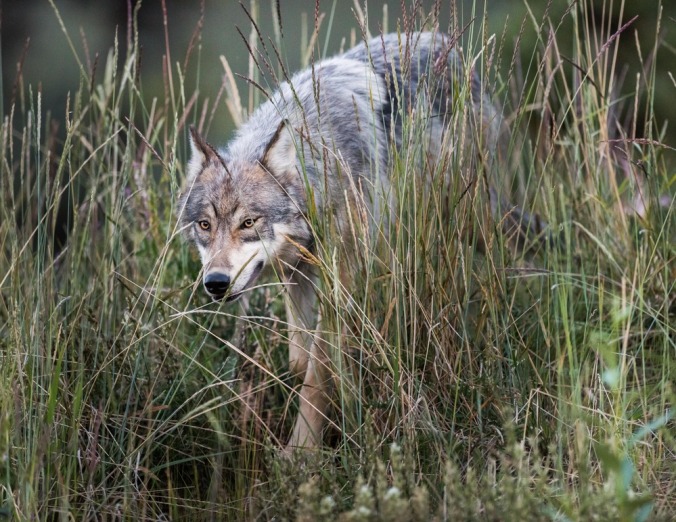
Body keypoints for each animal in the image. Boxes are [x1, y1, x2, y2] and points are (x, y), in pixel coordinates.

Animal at [178, 31, 538, 451]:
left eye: (248, 222)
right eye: (205, 225)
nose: (215, 283)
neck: (324, 167)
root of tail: (444, 42)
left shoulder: (344, 279)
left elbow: (317, 375)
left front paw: (301, 453)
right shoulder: (296, 270)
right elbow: (300, 361)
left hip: (469, 219)